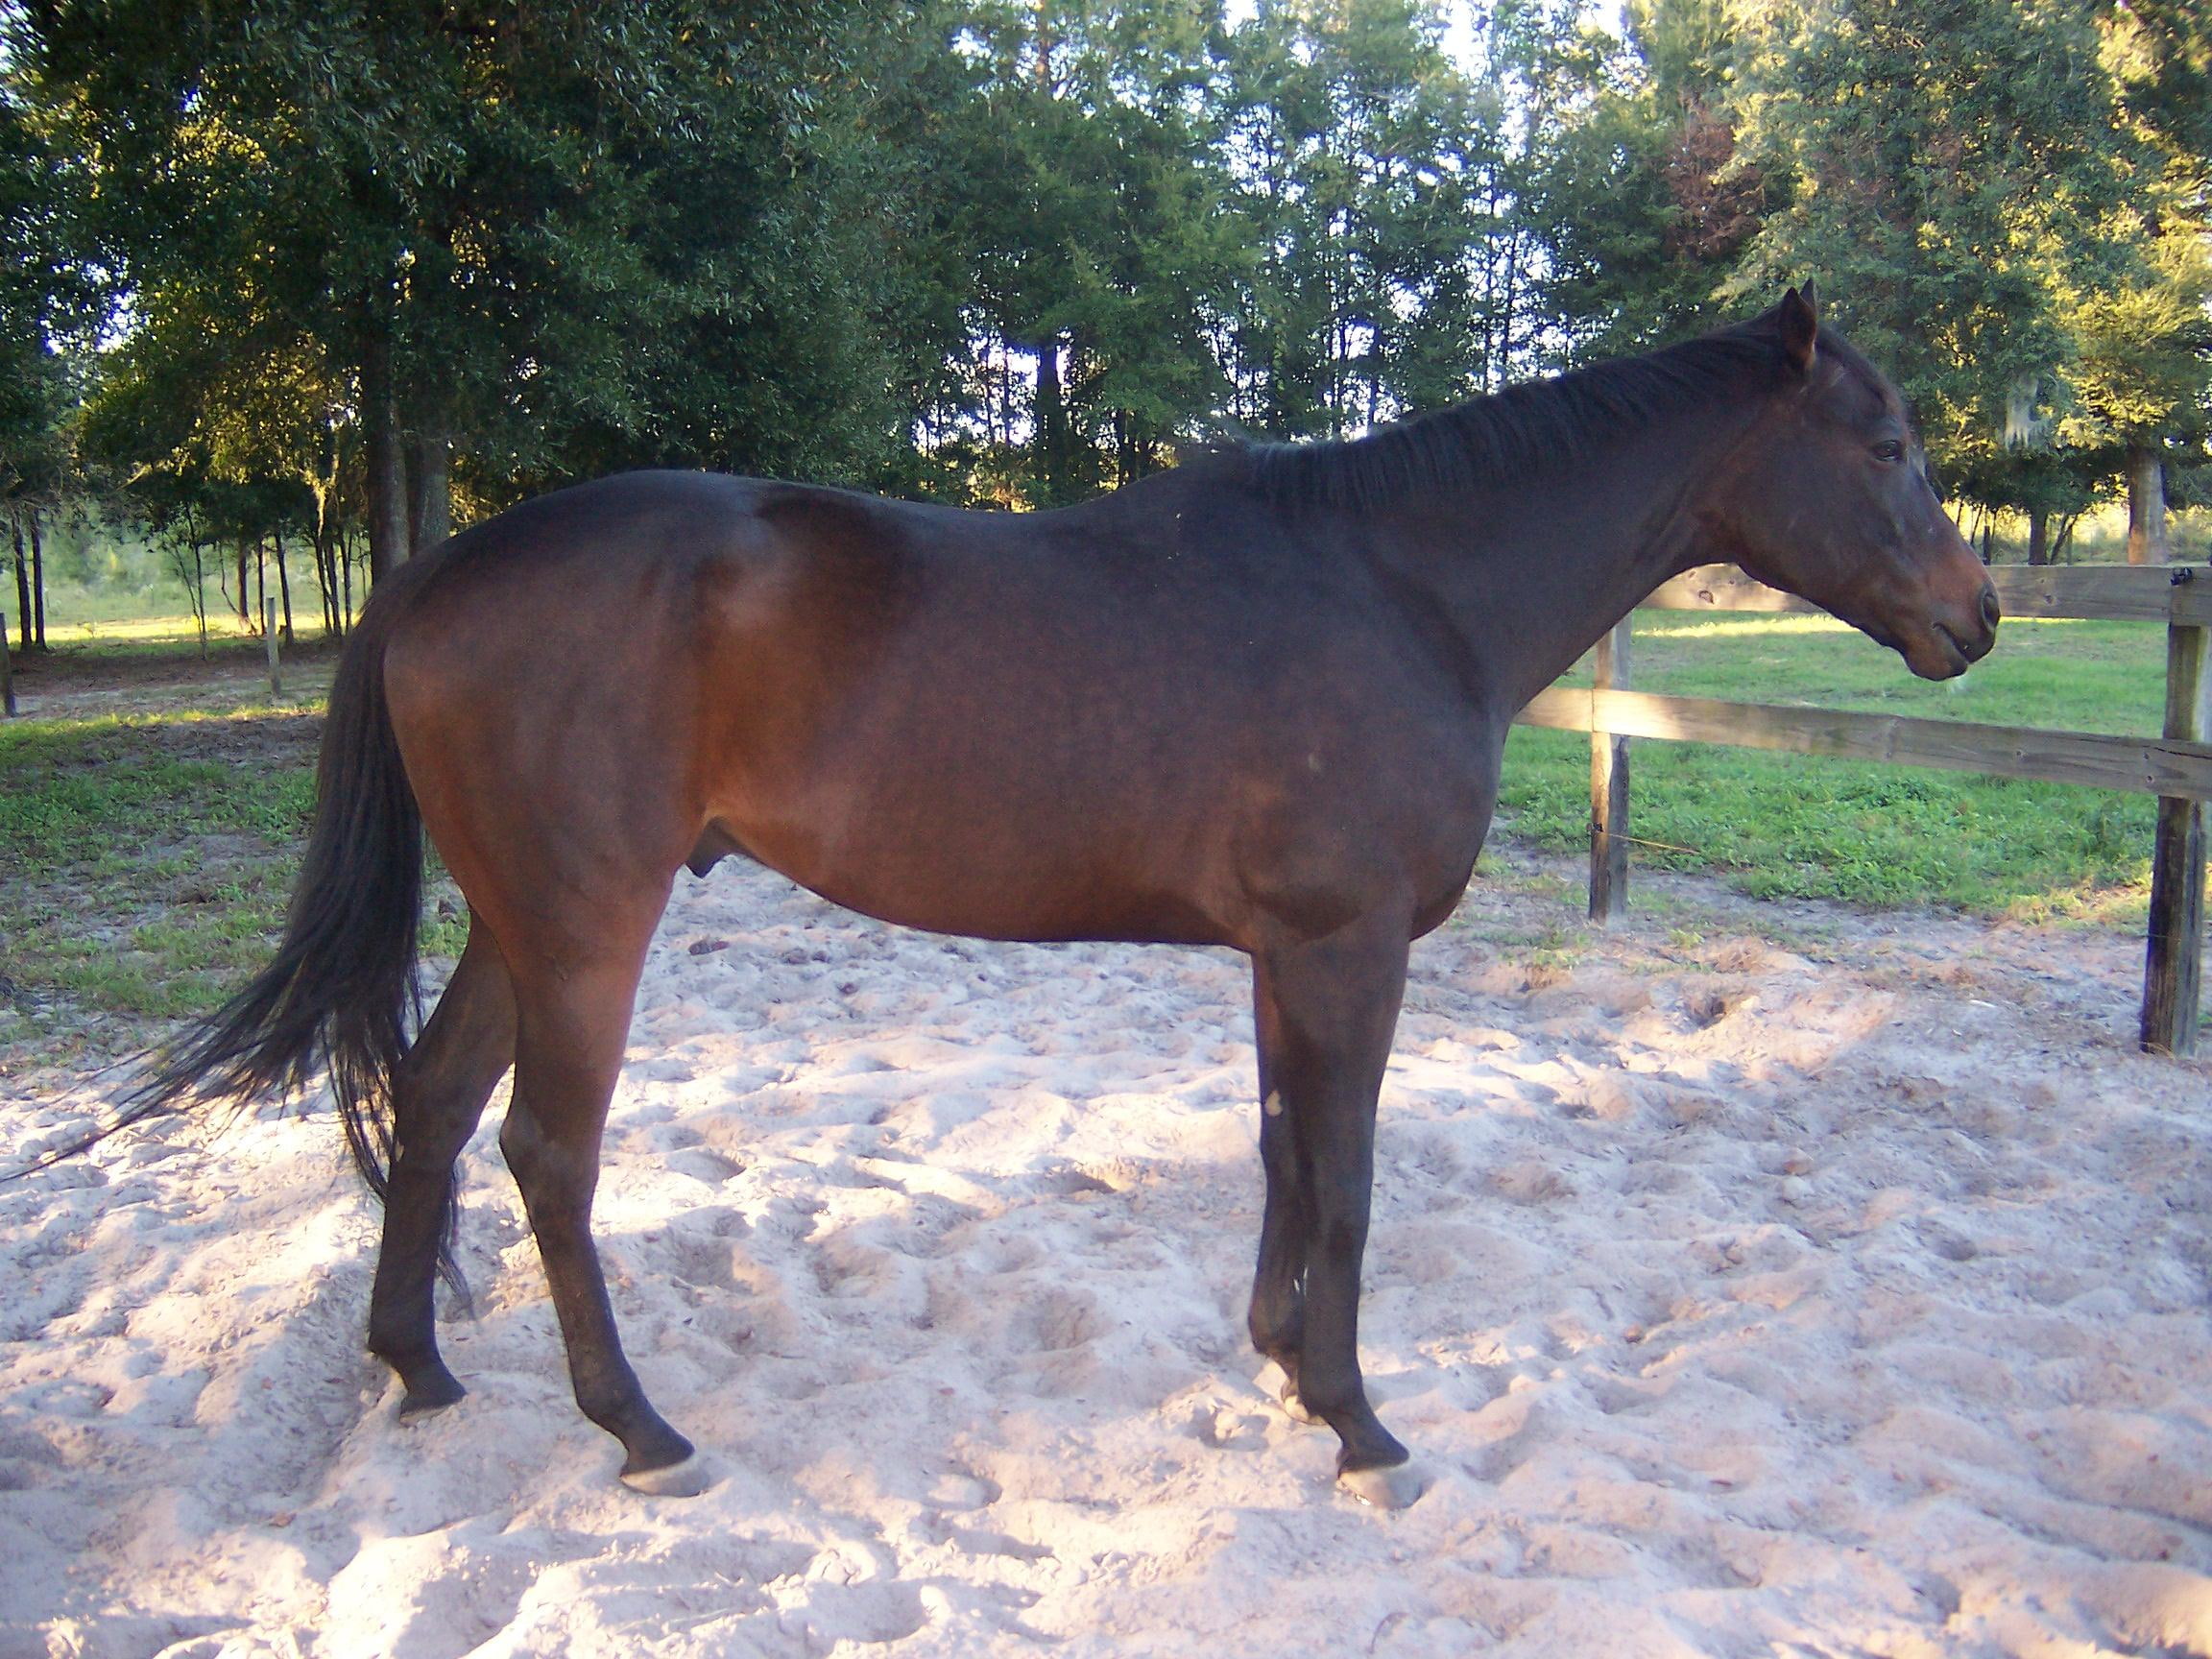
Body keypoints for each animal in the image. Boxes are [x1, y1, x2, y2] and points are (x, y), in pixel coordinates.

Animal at [127, 286, 1997, 1507]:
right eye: (1886, 440)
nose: (1974, 616)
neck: (1402, 584)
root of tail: (441, 566)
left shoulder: (1286, 957)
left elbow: (1281, 1155)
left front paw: (1275, 1362)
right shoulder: (1350, 953)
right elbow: (1349, 1183)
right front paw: (1359, 1422)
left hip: (520, 921)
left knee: (435, 1102)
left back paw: (419, 1365)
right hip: (588, 922)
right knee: (547, 1151)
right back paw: (638, 1431)